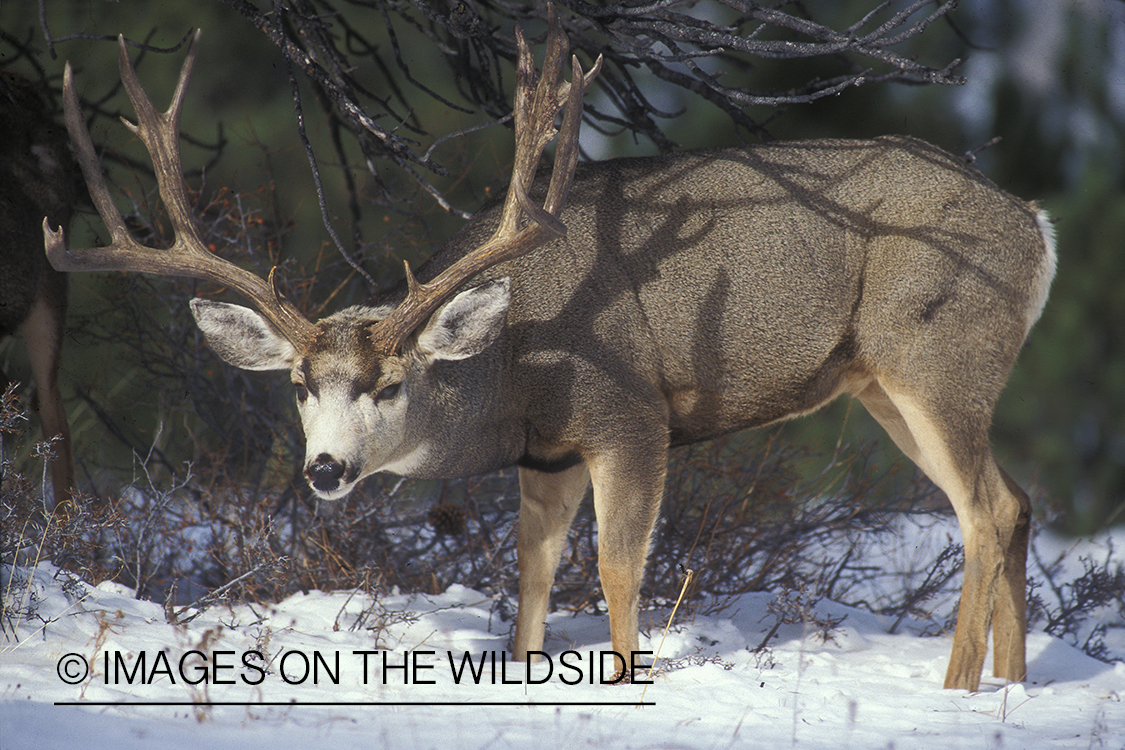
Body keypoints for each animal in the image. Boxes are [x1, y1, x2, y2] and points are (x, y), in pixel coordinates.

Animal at [44, 10, 1056, 692]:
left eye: (391, 382)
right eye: (297, 384)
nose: (326, 470)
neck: (513, 370)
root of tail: (1034, 223)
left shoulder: (629, 418)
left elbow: (616, 568)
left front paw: (624, 684)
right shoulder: (547, 456)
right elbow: (529, 582)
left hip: (933, 351)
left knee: (982, 510)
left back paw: (956, 688)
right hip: (885, 384)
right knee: (1014, 500)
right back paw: (1009, 683)